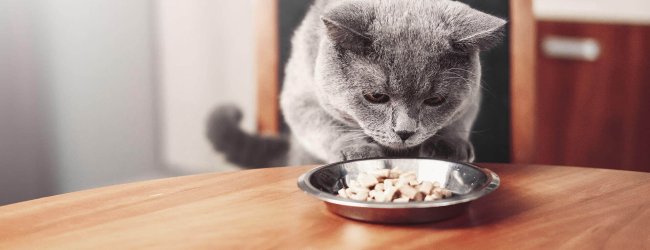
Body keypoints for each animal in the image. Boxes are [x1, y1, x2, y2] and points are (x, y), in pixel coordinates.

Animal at [208, 0, 506, 168]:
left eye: (435, 100)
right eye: (375, 96)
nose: (404, 132)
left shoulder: (471, 98)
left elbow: (459, 120)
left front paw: (449, 147)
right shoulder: (300, 98)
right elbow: (324, 125)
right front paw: (358, 150)